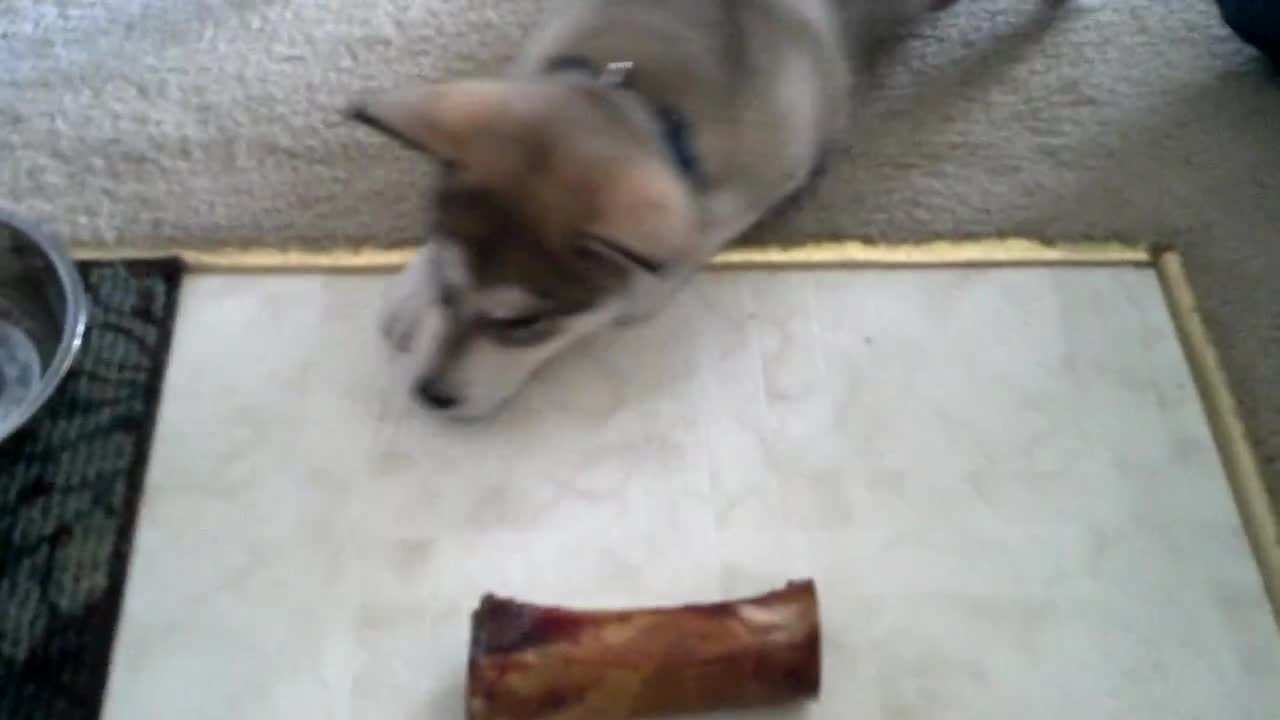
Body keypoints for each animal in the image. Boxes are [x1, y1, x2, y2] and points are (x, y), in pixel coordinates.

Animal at [348, 0, 1049, 417]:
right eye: (449, 289)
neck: (640, 92)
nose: (428, 395)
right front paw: (412, 290)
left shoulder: (772, 167)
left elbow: (689, 238)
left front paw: (642, 290)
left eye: (523, 324)